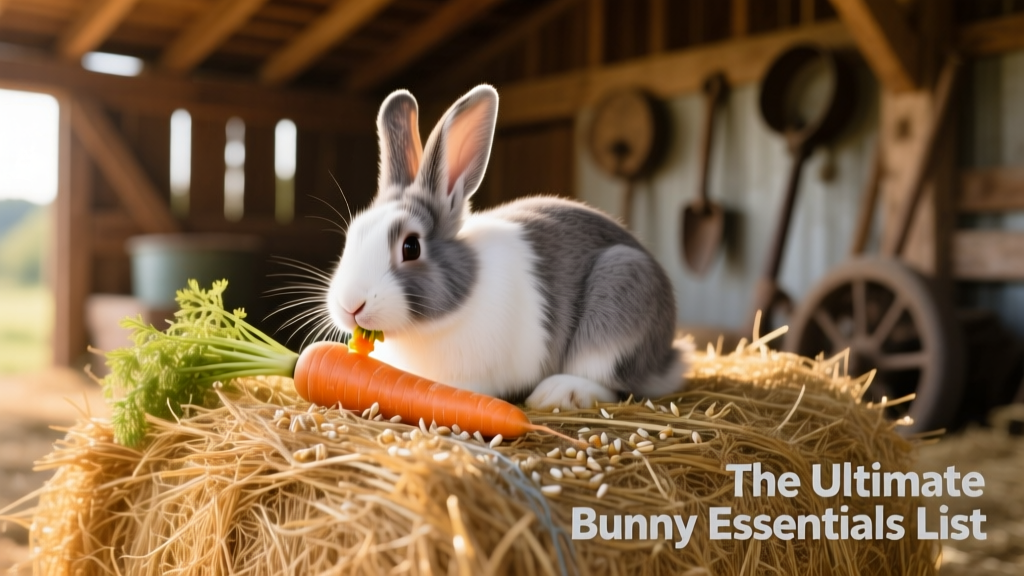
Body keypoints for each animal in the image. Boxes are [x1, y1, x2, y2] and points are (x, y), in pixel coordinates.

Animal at [326, 84, 687, 410]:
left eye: (411, 247)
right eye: (352, 236)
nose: (350, 305)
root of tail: (669, 356)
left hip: (621, 293)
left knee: (610, 381)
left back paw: (558, 394)